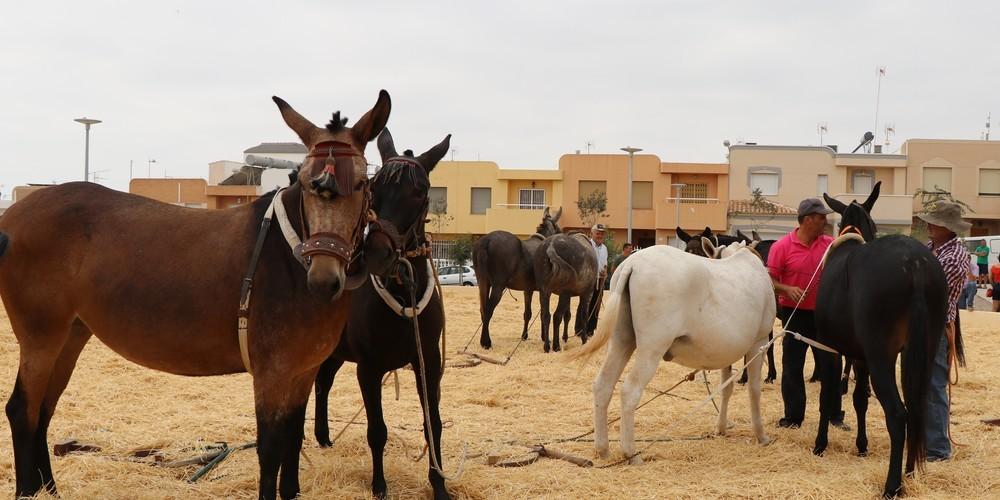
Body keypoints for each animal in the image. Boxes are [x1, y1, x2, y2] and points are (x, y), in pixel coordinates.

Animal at [0, 92, 391, 499]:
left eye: (361, 183)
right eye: (303, 180)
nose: (324, 278)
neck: (287, 256)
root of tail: (12, 214)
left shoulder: (303, 372)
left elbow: (293, 442)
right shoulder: (272, 373)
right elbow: (271, 450)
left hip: (72, 333)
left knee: (44, 409)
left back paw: (49, 488)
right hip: (41, 337)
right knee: (22, 409)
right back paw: (27, 489)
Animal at [312, 129, 452, 500]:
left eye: (420, 191)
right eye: (374, 186)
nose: (378, 252)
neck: (403, 288)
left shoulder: (427, 362)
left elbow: (432, 423)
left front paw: (439, 485)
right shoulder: (369, 368)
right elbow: (377, 430)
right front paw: (379, 486)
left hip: (336, 352)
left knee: (323, 381)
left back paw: (323, 436)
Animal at [472, 208, 562, 349]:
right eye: (558, 228)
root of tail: (486, 241)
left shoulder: (528, 289)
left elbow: (528, 313)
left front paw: (524, 335)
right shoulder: (544, 289)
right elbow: (543, 313)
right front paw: (544, 337)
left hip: (483, 282)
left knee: (483, 309)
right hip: (498, 285)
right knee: (488, 310)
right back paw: (486, 342)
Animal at [570, 240, 775, 462]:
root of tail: (632, 264)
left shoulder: (726, 352)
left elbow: (725, 389)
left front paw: (721, 428)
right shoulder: (759, 342)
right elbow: (754, 390)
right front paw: (761, 436)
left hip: (621, 341)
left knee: (603, 385)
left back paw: (602, 448)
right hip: (652, 348)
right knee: (630, 391)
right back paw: (630, 452)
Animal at [812, 182, 951, 497]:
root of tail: (914, 264)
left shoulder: (830, 349)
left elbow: (828, 396)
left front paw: (820, 444)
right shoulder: (860, 357)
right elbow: (859, 399)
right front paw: (862, 445)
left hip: (881, 358)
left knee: (898, 415)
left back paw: (892, 485)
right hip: (920, 352)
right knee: (917, 408)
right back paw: (910, 472)